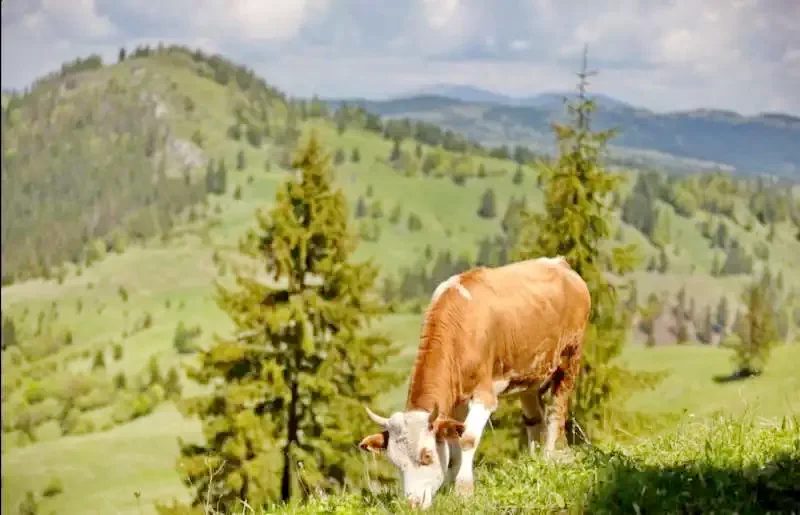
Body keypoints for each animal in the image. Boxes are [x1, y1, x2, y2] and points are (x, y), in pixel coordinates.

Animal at [360, 256, 592, 510]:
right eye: (395, 462)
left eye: (427, 455)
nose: (413, 504)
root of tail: (560, 263)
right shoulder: (454, 402)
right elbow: (452, 442)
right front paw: (448, 486)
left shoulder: (485, 395)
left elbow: (467, 439)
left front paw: (463, 489)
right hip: (528, 372)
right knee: (534, 418)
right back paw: (534, 461)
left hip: (570, 357)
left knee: (555, 411)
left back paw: (548, 458)